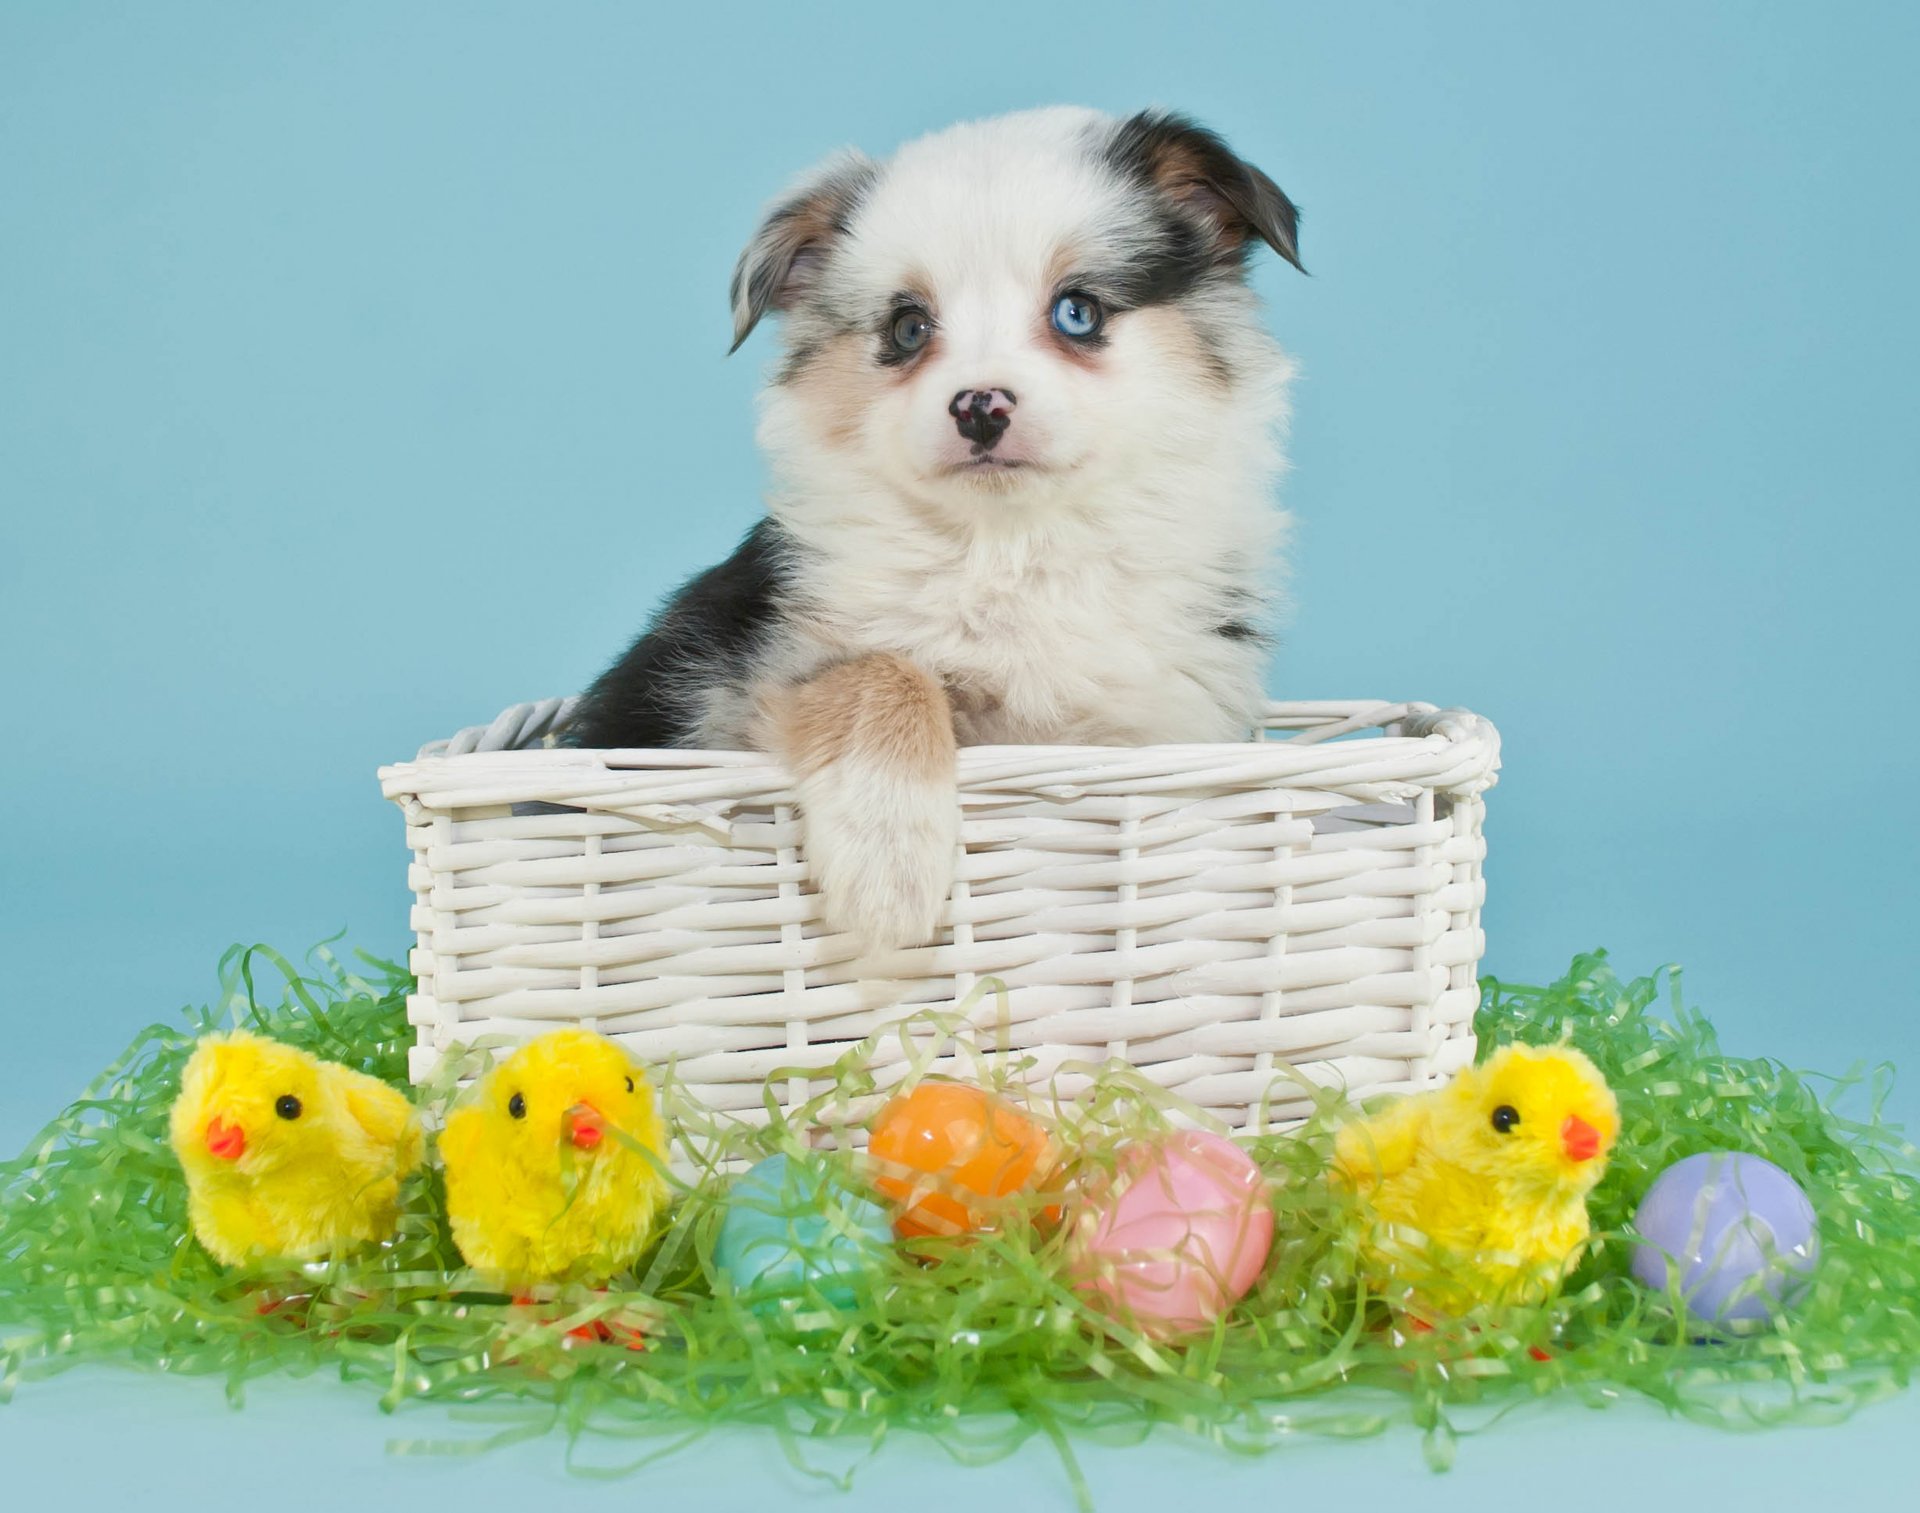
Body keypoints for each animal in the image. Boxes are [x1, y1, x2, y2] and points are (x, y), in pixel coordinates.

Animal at [560, 106, 1305, 952]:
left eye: (1076, 311)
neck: (1012, 544)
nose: (979, 406)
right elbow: (884, 667)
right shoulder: (740, 680)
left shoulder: (1152, 727)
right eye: (909, 327)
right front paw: (888, 867)